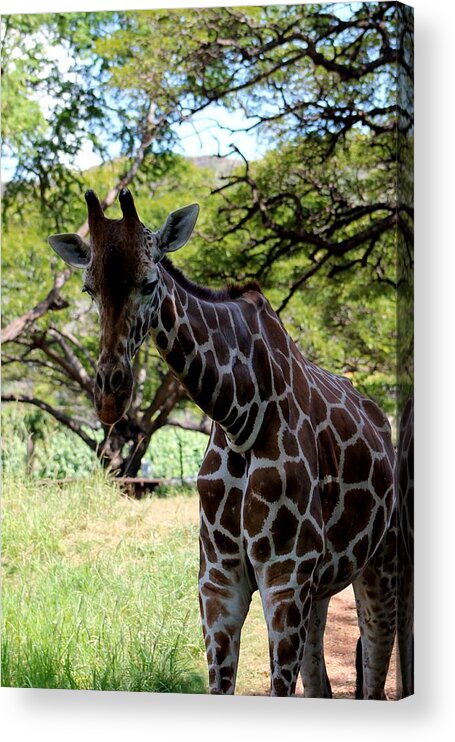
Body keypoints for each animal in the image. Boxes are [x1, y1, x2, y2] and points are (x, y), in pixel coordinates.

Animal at [50, 189, 398, 700]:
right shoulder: (219, 581)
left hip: (382, 562)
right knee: (320, 679)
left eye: (149, 282)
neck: (239, 416)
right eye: (88, 290)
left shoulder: (283, 578)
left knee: (374, 665)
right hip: (321, 585)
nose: (110, 394)